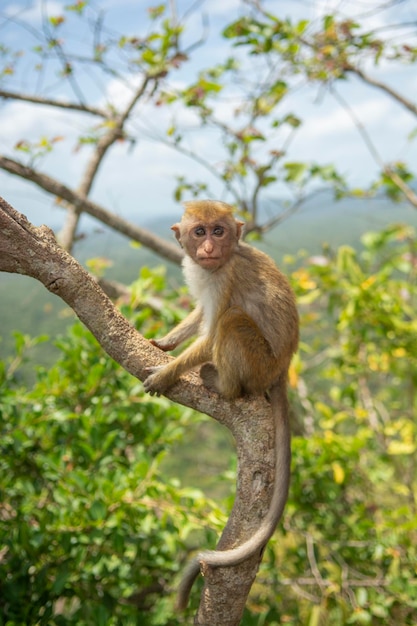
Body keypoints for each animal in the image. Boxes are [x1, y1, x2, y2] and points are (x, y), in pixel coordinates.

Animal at [144, 200, 300, 608]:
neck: (219, 264)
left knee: (231, 320)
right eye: (200, 231)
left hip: (259, 365)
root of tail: (283, 368)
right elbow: (200, 314)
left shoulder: (223, 278)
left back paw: (223, 384)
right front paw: (165, 342)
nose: (210, 247)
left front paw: (166, 374)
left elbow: (212, 331)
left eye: (220, 231)